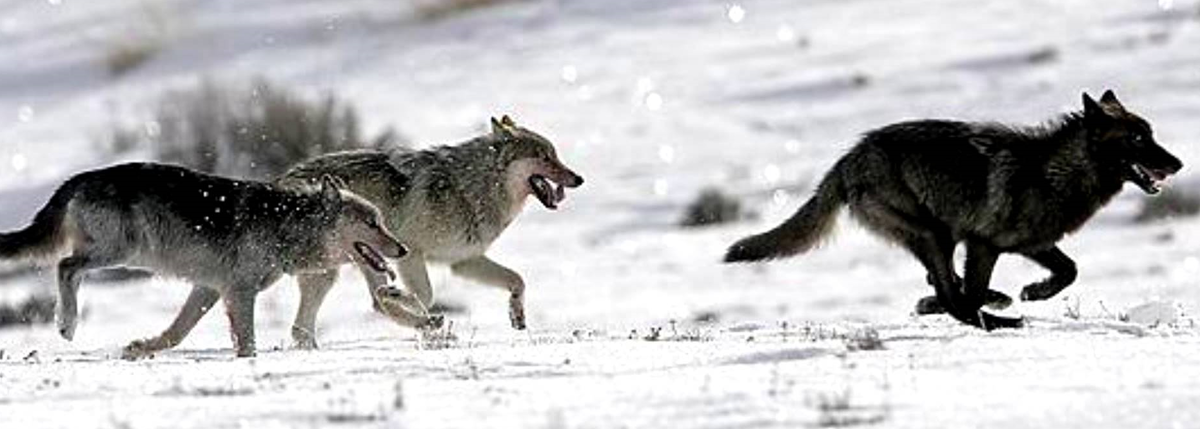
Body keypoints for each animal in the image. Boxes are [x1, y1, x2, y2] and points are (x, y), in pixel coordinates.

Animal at [0, 162, 417, 357]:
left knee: (66, 267)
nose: (403, 250)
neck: (285, 223)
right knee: (65, 267)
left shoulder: (210, 289)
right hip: (119, 252)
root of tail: (79, 177)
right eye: (372, 223)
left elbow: (175, 333)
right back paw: (66, 323)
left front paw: (141, 349)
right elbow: (248, 343)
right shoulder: (240, 293)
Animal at [280, 113, 580, 342]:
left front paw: (517, 315)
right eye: (544, 156)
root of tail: (283, 178)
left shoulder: (464, 260)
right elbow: (426, 294)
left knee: (313, 325)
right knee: (320, 321)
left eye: (555, 154)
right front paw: (403, 298)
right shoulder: (411, 252)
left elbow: (517, 279)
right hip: (341, 265)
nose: (579, 178)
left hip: (355, 262)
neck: (469, 187)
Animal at [720, 92, 1180, 330]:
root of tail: (850, 157)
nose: (1177, 164)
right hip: (933, 234)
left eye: (1150, 134)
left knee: (945, 286)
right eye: (1138, 139)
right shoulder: (984, 244)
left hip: (939, 236)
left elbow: (1069, 271)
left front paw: (1033, 292)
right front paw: (996, 307)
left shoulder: (1035, 244)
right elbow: (969, 294)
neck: (1054, 172)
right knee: (953, 295)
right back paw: (991, 316)